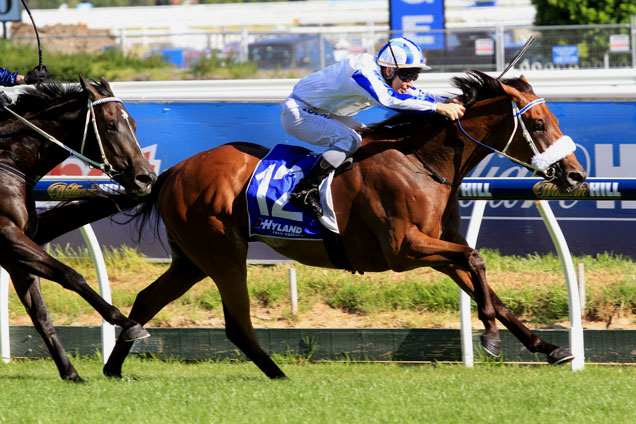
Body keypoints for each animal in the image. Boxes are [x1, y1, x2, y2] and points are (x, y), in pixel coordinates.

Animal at [0, 77, 157, 380]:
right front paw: (129, 323)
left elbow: (41, 315)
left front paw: (70, 372)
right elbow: (72, 276)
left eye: (133, 123)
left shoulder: (15, 250)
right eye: (110, 124)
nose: (146, 178)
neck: (9, 160)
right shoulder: (7, 235)